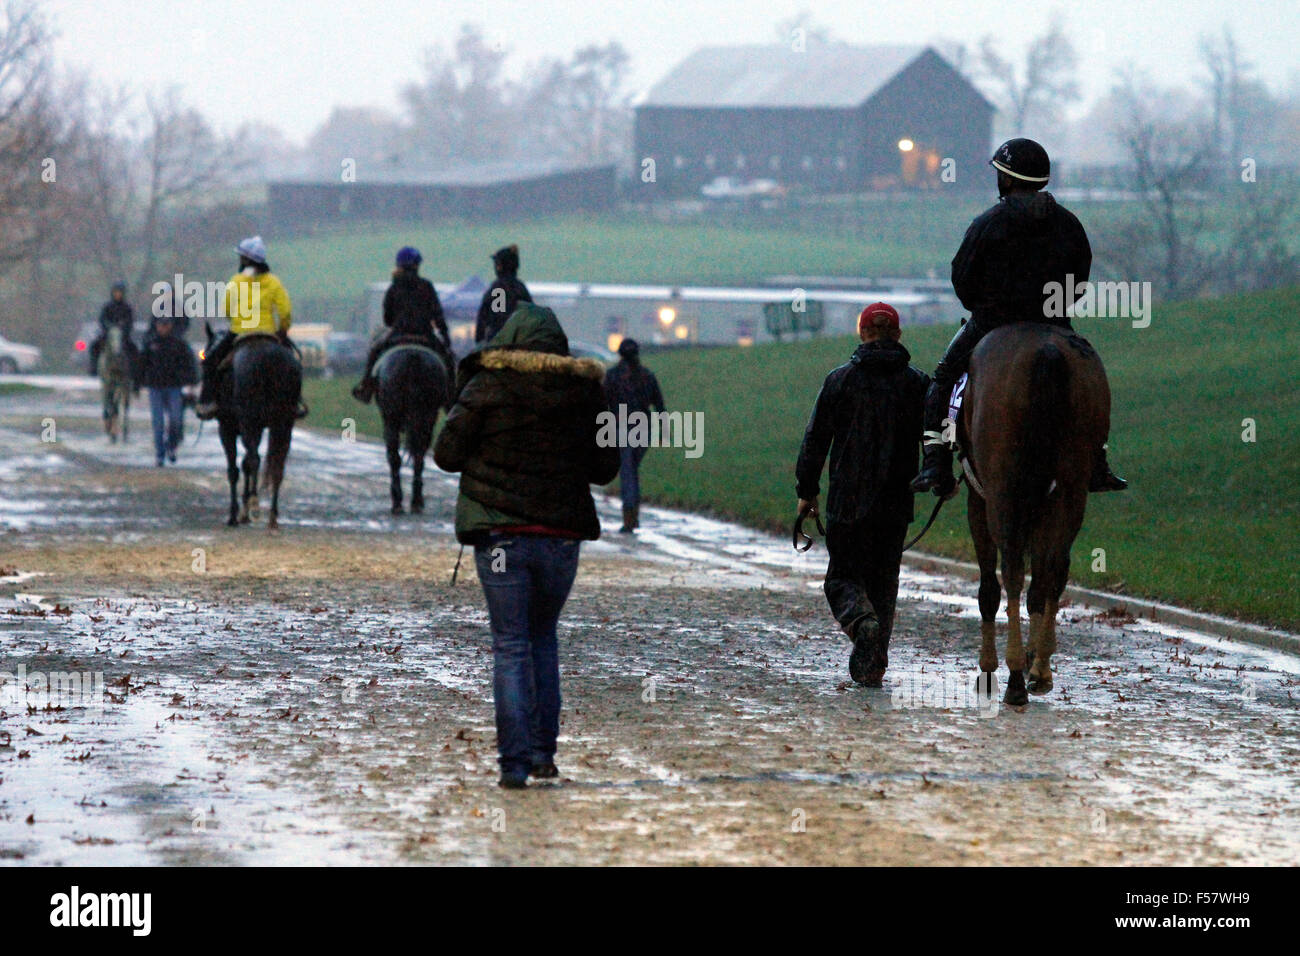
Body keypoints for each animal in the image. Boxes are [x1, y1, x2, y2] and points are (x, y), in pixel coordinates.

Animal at [201, 325, 300, 528]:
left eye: (207, 360)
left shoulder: (228, 428)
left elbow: (235, 469)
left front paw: (235, 514)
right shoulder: (258, 427)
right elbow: (246, 463)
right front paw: (243, 511)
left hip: (249, 421)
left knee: (254, 460)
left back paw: (254, 504)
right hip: (284, 424)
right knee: (277, 466)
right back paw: (272, 516)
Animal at [377, 343, 452, 515]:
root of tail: (412, 357)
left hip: (392, 420)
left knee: (395, 456)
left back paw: (400, 501)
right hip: (427, 417)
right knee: (418, 456)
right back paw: (414, 502)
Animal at [961, 325, 1112, 707]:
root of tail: (1047, 352)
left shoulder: (978, 499)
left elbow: (990, 587)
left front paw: (989, 669)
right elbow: (1042, 582)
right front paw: (1035, 660)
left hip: (1003, 494)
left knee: (1012, 572)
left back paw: (1014, 677)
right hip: (1071, 491)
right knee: (1053, 570)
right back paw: (1040, 671)